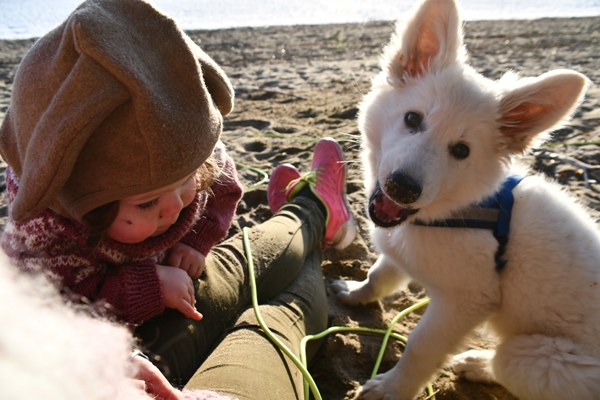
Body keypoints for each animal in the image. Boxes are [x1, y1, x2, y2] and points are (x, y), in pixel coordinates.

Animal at [330, 0, 596, 400]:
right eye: (412, 118)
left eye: (461, 151)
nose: (402, 188)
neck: (461, 209)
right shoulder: (402, 246)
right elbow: (379, 274)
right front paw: (356, 293)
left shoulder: (464, 301)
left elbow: (420, 346)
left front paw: (391, 388)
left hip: (532, 356)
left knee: (505, 363)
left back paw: (479, 364)